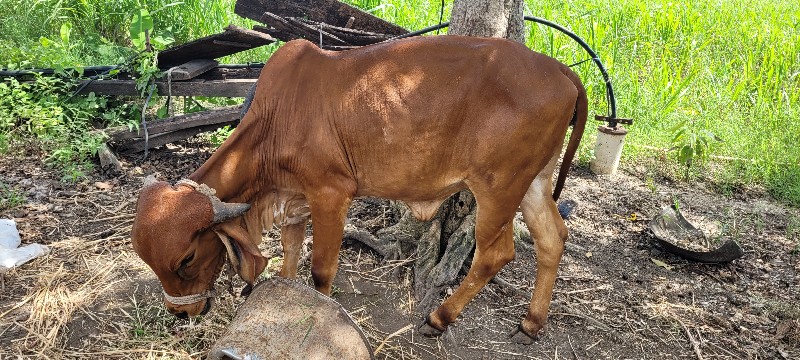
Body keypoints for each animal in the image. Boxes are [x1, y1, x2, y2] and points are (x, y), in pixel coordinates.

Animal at [131, 35, 588, 344]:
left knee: (496, 254)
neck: (276, 118)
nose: (179, 313)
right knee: (553, 238)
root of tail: (562, 71)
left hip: (497, 188)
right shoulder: (294, 197)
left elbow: (320, 269)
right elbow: (291, 255)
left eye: (187, 259)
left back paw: (439, 318)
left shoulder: (330, 194)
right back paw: (530, 323)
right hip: (533, 184)